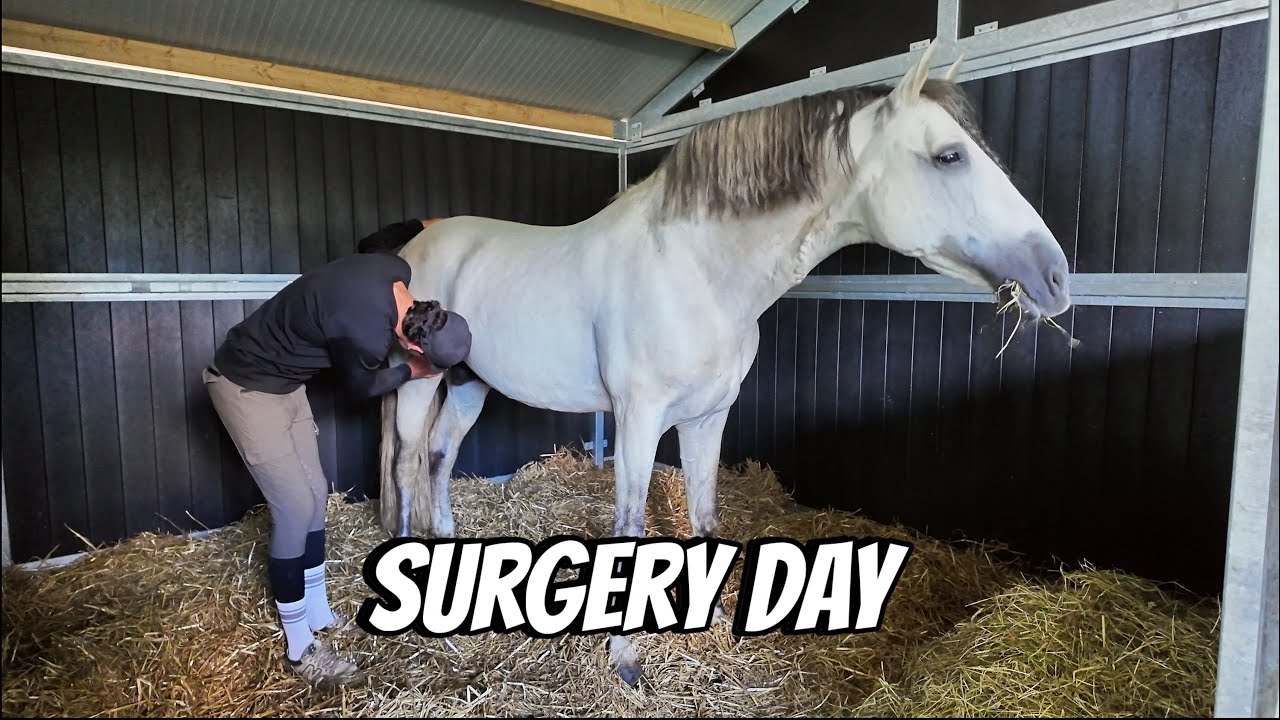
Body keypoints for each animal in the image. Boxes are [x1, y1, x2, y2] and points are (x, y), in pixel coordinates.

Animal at [373, 41, 1073, 686]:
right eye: (949, 155)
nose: (1055, 278)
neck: (694, 270)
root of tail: (417, 244)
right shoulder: (637, 419)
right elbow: (630, 524)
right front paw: (625, 661)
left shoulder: (708, 417)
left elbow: (706, 517)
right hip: (421, 384)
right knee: (408, 463)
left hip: (468, 382)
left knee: (440, 455)